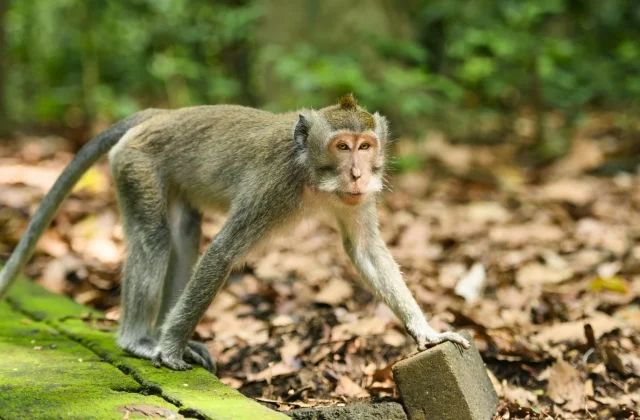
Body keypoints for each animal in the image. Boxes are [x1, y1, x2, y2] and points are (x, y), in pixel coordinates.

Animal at [0, 94, 470, 373]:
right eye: (342, 146)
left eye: (366, 146)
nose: (357, 173)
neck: (310, 173)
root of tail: (162, 114)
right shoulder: (273, 188)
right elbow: (224, 252)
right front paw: (170, 350)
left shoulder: (354, 198)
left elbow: (366, 250)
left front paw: (426, 331)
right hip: (136, 163)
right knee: (154, 238)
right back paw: (140, 340)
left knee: (184, 234)